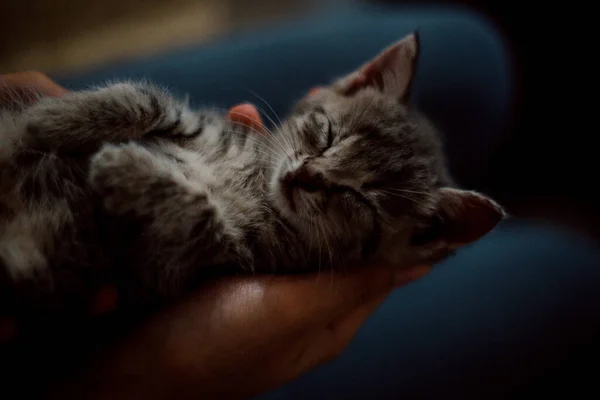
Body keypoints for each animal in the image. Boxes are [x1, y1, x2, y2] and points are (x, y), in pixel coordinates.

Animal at [0, 32, 506, 318]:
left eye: (361, 199)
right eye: (327, 133)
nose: (304, 176)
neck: (254, 182)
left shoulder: (181, 266)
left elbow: (199, 211)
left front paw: (124, 167)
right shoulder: (206, 126)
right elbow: (145, 100)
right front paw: (49, 121)